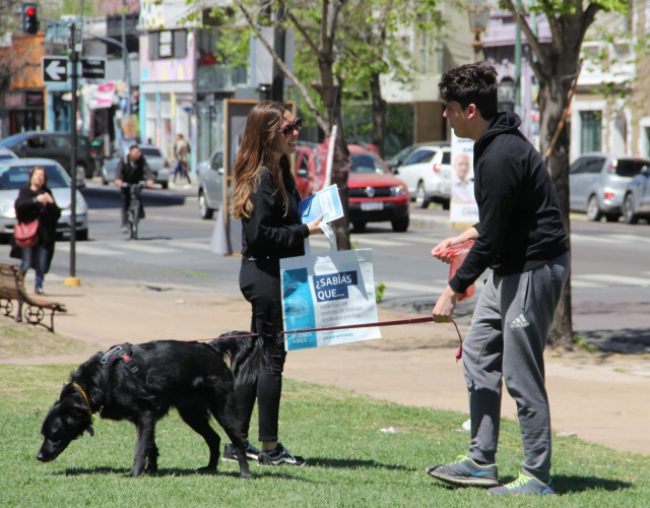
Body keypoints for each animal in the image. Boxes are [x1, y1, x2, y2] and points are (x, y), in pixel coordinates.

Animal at [35, 332, 264, 478]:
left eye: (54, 434)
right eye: (43, 434)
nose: (39, 456)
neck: (101, 378)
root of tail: (211, 348)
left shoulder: (145, 413)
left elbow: (140, 448)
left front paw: (135, 473)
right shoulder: (148, 417)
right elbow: (150, 446)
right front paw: (151, 470)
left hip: (222, 409)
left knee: (237, 439)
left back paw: (245, 473)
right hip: (191, 413)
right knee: (214, 438)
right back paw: (210, 468)